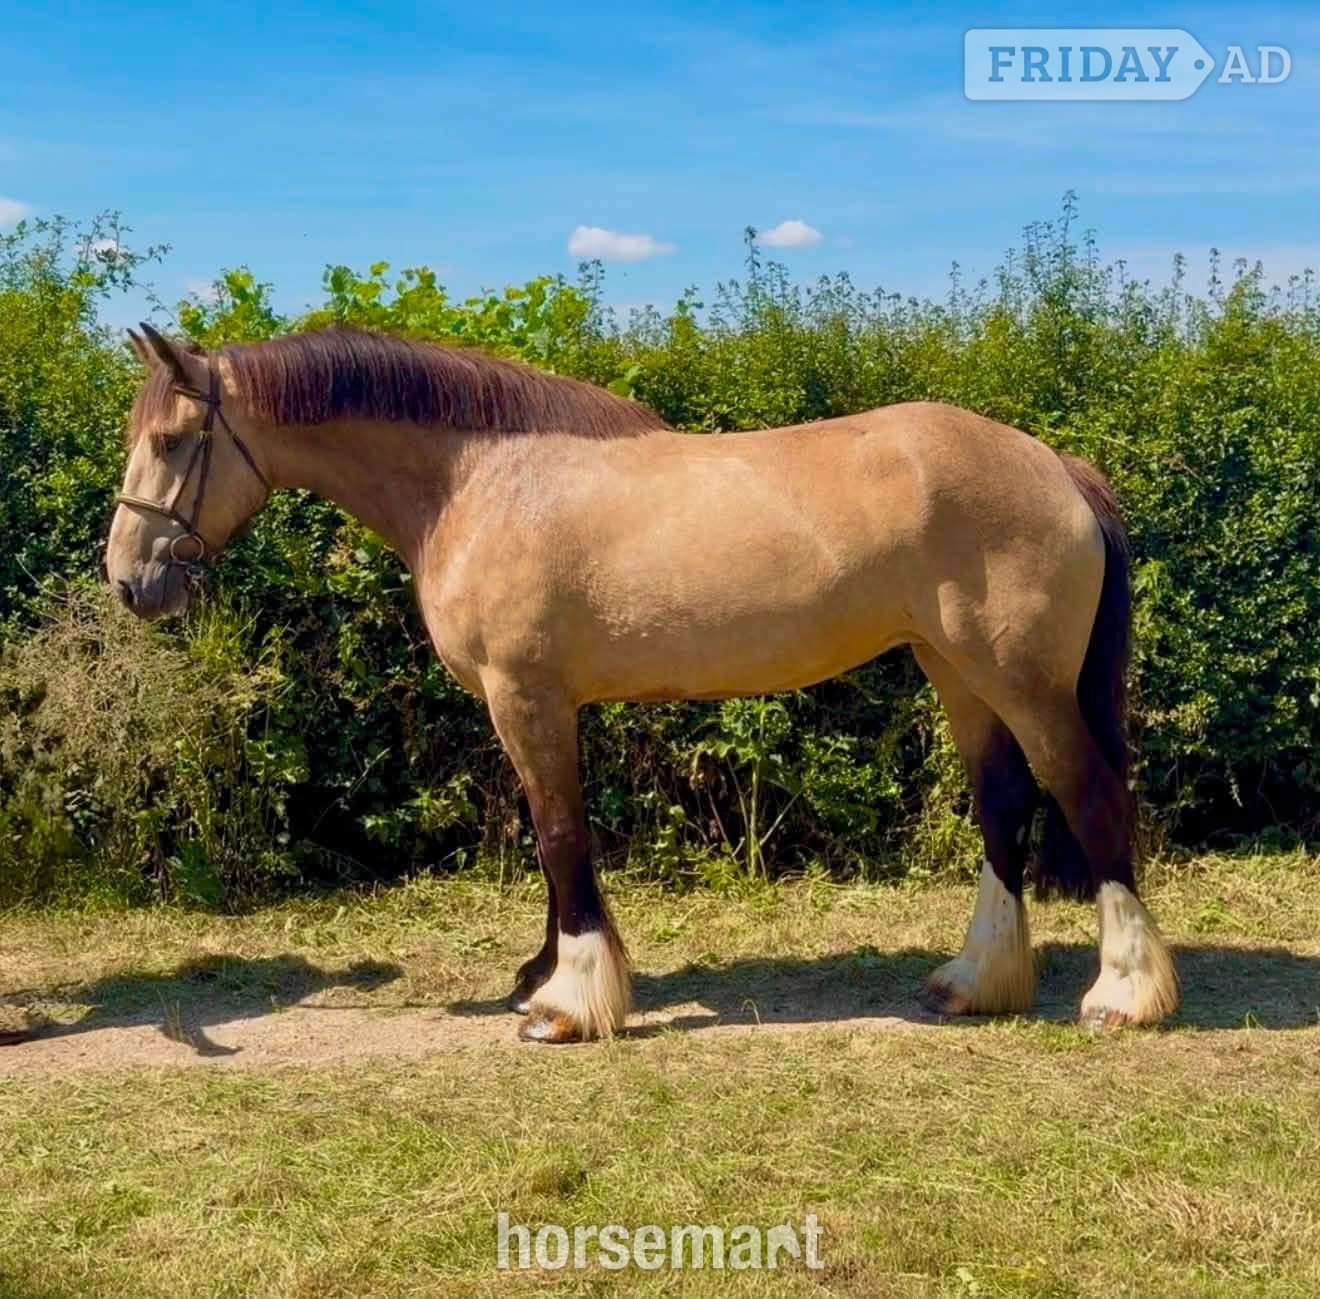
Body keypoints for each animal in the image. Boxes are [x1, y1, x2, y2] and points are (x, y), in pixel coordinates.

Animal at [105, 323, 1178, 1043]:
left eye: (169, 442)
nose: (128, 579)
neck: (477, 481)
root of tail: (1054, 464)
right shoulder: (531, 707)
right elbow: (552, 843)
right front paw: (542, 974)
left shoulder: (528, 697)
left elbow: (560, 837)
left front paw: (567, 1003)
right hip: (957, 671)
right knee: (1004, 805)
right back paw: (972, 981)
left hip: (1022, 681)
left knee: (1089, 794)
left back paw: (1124, 994)